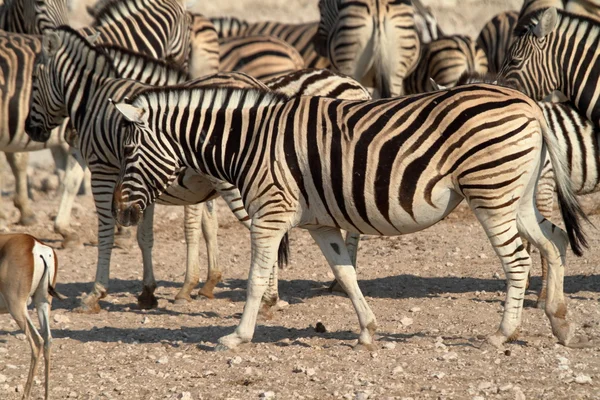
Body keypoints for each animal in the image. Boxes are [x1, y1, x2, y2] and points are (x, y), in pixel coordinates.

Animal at [110, 80, 588, 350]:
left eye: (130, 151)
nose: (122, 212)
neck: (249, 142)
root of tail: (529, 103)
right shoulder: (321, 223)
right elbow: (346, 273)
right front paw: (368, 331)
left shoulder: (269, 212)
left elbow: (255, 279)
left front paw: (237, 337)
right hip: (516, 196)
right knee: (555, 241)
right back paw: (561, 322)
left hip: (490, 194)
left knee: (519, 260)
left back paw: (504, 334)